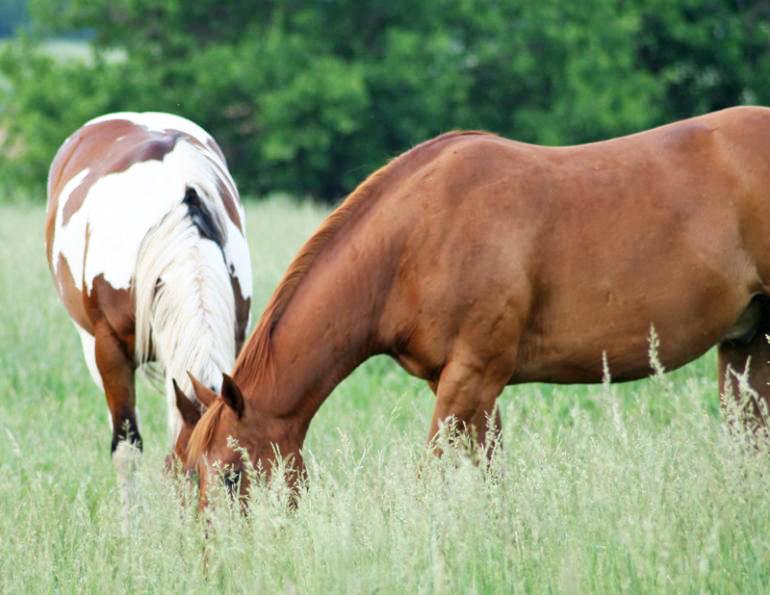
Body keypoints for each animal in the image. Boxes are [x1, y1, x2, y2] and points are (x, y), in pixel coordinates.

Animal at [180, 105, 770, 505]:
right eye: (191, 473)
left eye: (233, 473)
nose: (216, 562)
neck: (415, 239)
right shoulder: (471, 388)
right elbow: (490, 479)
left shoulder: (470, 379)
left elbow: (432, 477)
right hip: (746, 346)